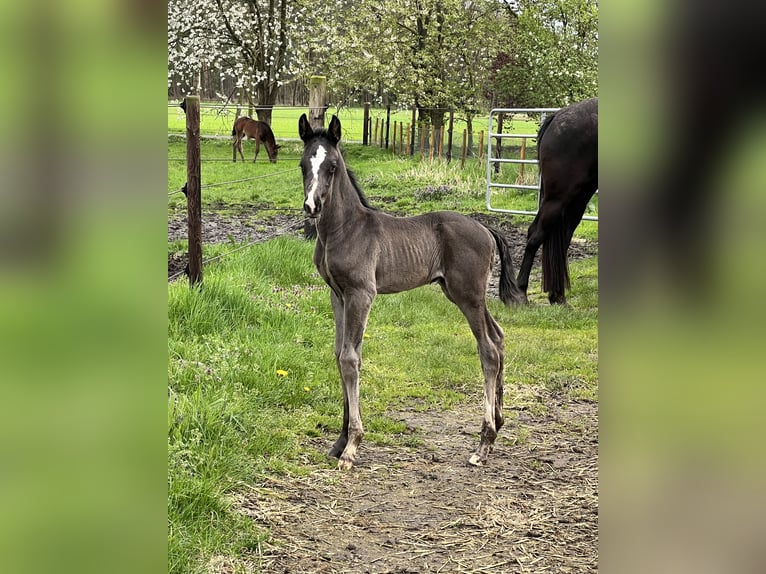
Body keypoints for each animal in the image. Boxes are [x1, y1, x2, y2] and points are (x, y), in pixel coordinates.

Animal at [300, 113, 528, 472]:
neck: (345, 229)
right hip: (464, 294)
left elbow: (351, 359)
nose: (312, 205)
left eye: (332, 166)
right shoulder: (337, 294)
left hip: (468, 295)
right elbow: (339, 355)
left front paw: (352, 446)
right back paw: (499, 423)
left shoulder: (361, 294)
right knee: (500, 336)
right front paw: (338, 441)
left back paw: (483, 444)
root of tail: (486, 228)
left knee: (489, 350)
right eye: (302, 165)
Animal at [516, 98, 600, 306]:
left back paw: (557, 296)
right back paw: (522, 292)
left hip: (578, 198)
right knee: (536, 235)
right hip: (559, 198)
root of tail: (556, 117)